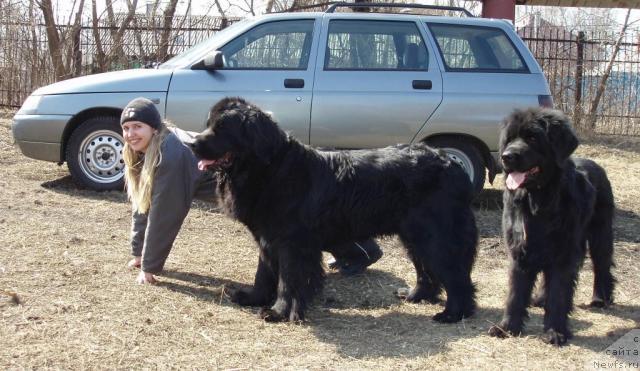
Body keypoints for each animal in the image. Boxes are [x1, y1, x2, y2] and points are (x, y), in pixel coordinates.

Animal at [192, 97, 478, 324]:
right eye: (208, 124)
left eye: (222, 128)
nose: (193, 143)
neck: (270, 168)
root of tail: (452, 165)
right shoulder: (267, 238)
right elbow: (263, 273)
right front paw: (253, 297)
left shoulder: (291, 242)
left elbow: (287, 279)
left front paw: (278, 312)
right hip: (413, 235)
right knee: (426, 270)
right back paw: (415, 296)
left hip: (435, 235)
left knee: (455, 274)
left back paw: (453, 313)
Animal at [488, 107, 616, 346]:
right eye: (510, 138)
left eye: (532, 138)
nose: (507, 156)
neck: (537, 200)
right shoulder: (520, 249)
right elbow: (516, 292)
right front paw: (507, 328)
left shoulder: (563, 253)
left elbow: (558, 293)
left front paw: (555, 331)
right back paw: (539, 298)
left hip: (600, 233)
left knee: (602, 265)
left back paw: (599, 298)